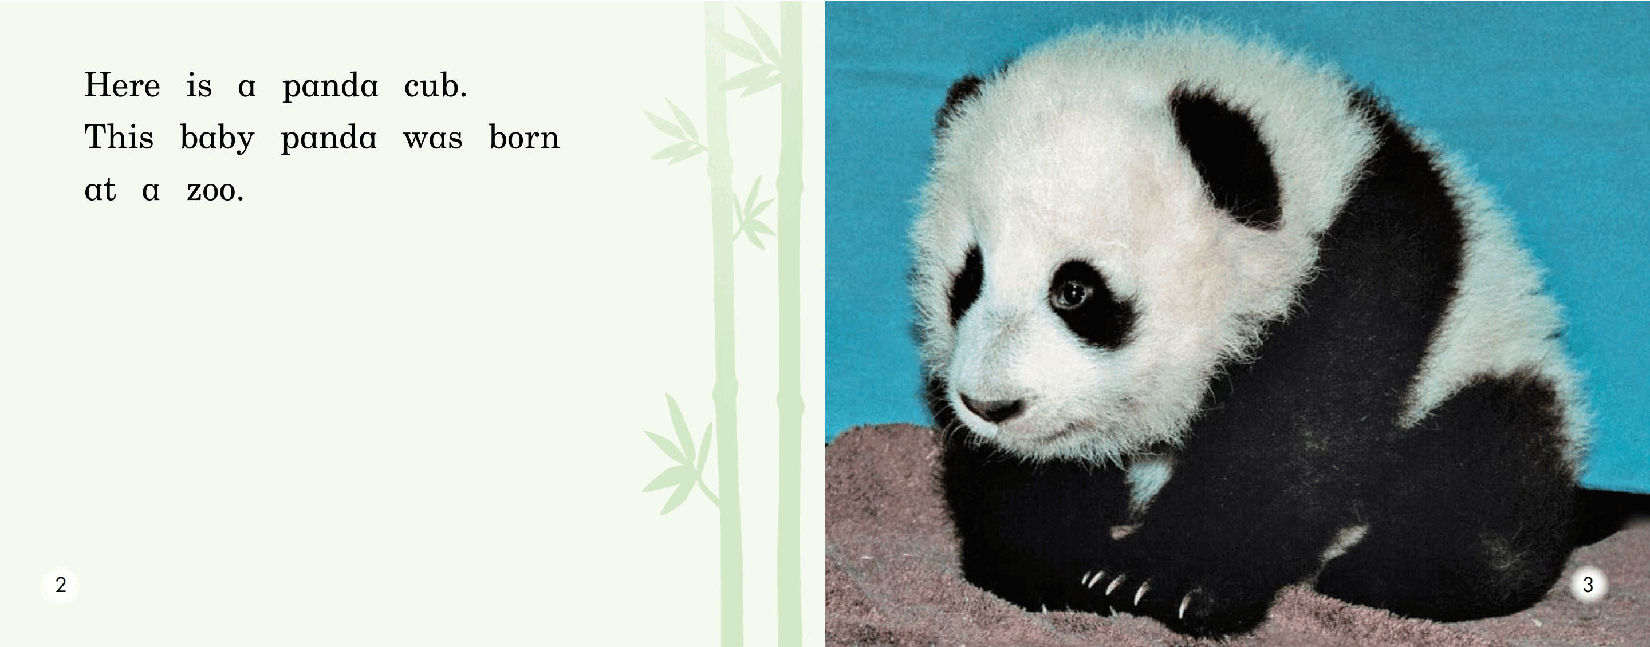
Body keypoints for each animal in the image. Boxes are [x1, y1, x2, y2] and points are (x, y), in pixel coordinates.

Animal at [911, 25, 1591, 637]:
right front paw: (1050, 568)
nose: (989, 405)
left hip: (1487, 353)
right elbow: (1025, 472)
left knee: (1482, 464)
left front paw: (1162, 580)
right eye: (967, 279)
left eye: (1075, 291)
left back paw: (1394, 572)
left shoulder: (1366, 265)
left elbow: (1295, 429)